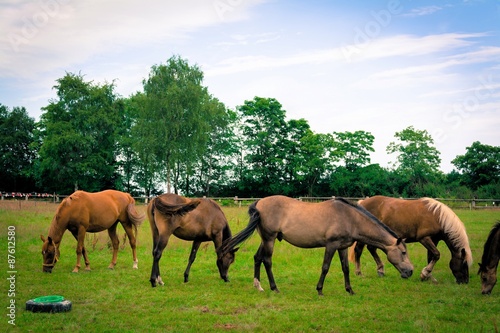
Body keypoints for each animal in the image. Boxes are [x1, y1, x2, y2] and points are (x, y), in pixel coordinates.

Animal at [220, 196, 414, 294]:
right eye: (403, 252)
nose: (410, 271)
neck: (349, 217)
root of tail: (259, 202)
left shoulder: (342, 247)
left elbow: (345, 268)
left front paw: (349, 290)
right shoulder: (331, 245)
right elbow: (325, 267)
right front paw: (319, 289)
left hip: (266, 239)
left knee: (257, 258)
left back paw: (258, 285)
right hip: (269, 238)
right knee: (267, 260)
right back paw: (274, 288)